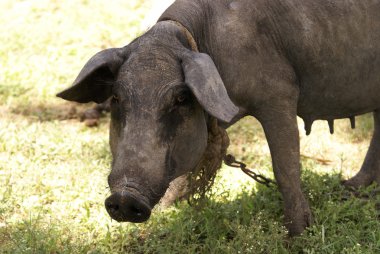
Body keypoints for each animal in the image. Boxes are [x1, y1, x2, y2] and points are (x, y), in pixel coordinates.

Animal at [57, 0, 380, 236]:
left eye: (181, 98)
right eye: (116, 98)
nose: (125, 198)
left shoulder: (280, 93)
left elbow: (285, 168)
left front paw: (300, 235)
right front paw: (168, 210)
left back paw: (348, 189)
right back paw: (351, 187)